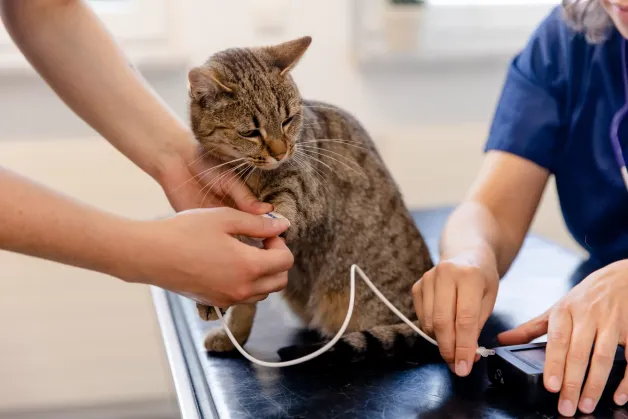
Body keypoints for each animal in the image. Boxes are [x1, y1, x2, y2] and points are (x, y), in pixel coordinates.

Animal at [186, 37, 434, 364]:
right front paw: (231, 332)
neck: (246, 174)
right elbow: (245, 299)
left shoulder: (299, 195)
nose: (281, 152)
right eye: (250, 132)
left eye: (288, 120)